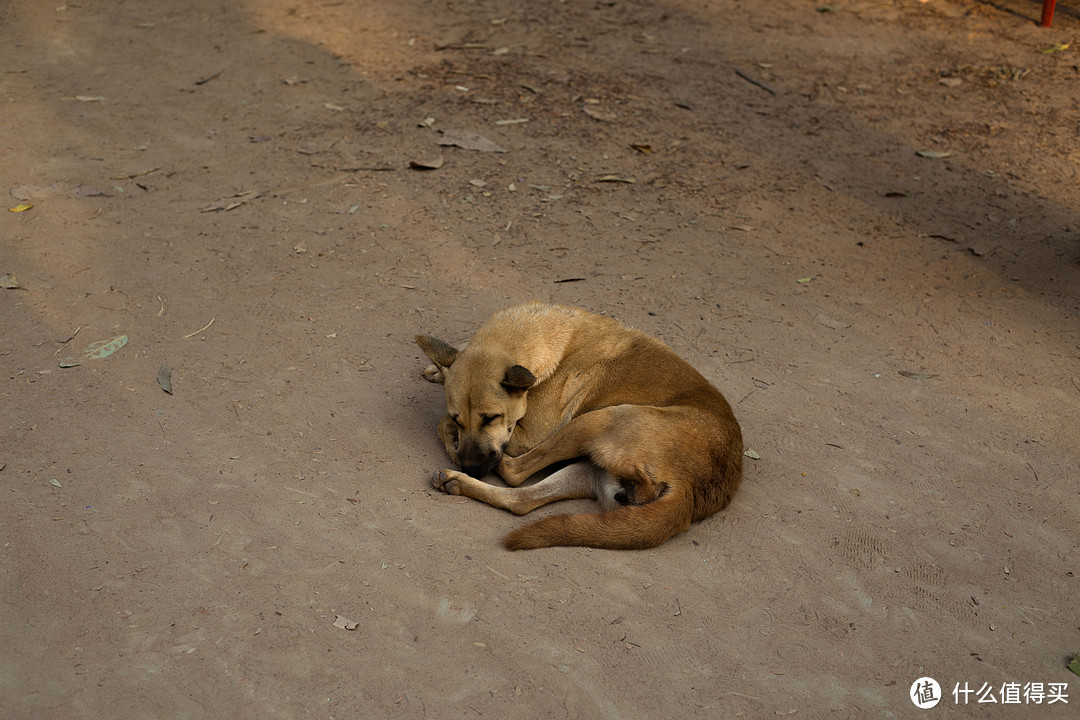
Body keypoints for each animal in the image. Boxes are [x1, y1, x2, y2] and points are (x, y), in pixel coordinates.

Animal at [412, 302, 743, 548]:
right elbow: (448, 404)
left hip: (597, 419)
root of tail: (695, 490)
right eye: (461, 419)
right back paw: (457, 481)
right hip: (586, 469)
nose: (472, 468)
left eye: (490, 418)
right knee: (521, 500)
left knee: (515, 472)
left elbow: (440, 422)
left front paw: (454, 446)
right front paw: (440, 368)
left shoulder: (527, 436)